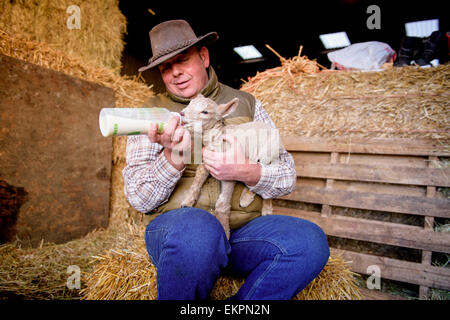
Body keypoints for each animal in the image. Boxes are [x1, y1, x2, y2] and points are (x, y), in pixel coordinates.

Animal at [178, 94, 282, 239]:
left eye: (205, 112)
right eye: (190, 103)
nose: (182, 113)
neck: (216, 137)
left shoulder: (227, 174)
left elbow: (222, 204)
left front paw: (225, 234)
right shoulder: (207, 162)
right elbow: (197, 180)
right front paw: (187, 201)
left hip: (267, 154)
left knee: (266, 180)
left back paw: (261, 207)